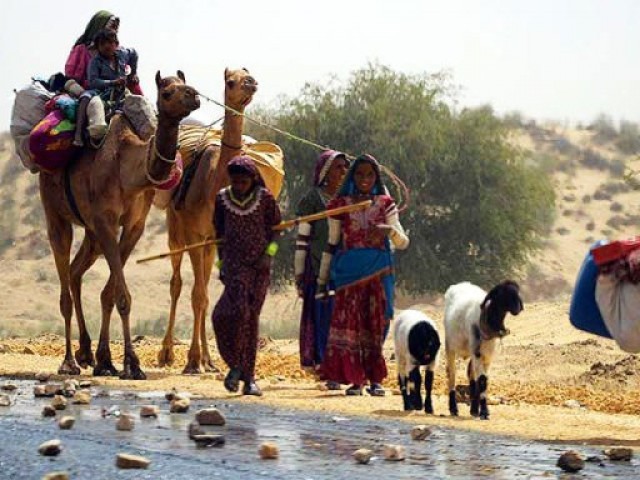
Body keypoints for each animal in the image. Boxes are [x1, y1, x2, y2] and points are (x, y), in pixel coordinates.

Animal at [40, 71, 200, 378]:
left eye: (185, 84)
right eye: (167, 92)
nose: (194, 95)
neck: (129, 171)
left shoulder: (134, 225)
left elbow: (110, 294)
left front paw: (106, 360)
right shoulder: (106, 221)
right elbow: (122, 296)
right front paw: (131, 363)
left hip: (90, 231)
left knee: (76, 271)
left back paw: (86, 352)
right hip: (54, 210)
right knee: (64, 282)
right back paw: (69, 362)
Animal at [157, 68, 258, 376]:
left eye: (248, 74)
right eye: (230, 81)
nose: (251, 83)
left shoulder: (216, 238)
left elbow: (204, 296)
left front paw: (203, 359)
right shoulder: (193, 235)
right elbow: (194, 293)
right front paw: (190, 360)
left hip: (207, 244)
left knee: (200, 290)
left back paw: (208, 360)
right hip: (176, 232)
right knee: (177, 283)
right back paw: (167, 353)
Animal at [442, 282, 524, 420]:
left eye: (517, 292)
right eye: (502, 293)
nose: (519, 307)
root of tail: (459, 284)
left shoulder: (487, 356)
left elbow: (482, 381)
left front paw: (479, 411)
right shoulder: (478, 354)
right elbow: (481, 380)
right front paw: (484, 412)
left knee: (471, 375)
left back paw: (474, 409)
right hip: (450, 346)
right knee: (452, 375)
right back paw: (453, 409)